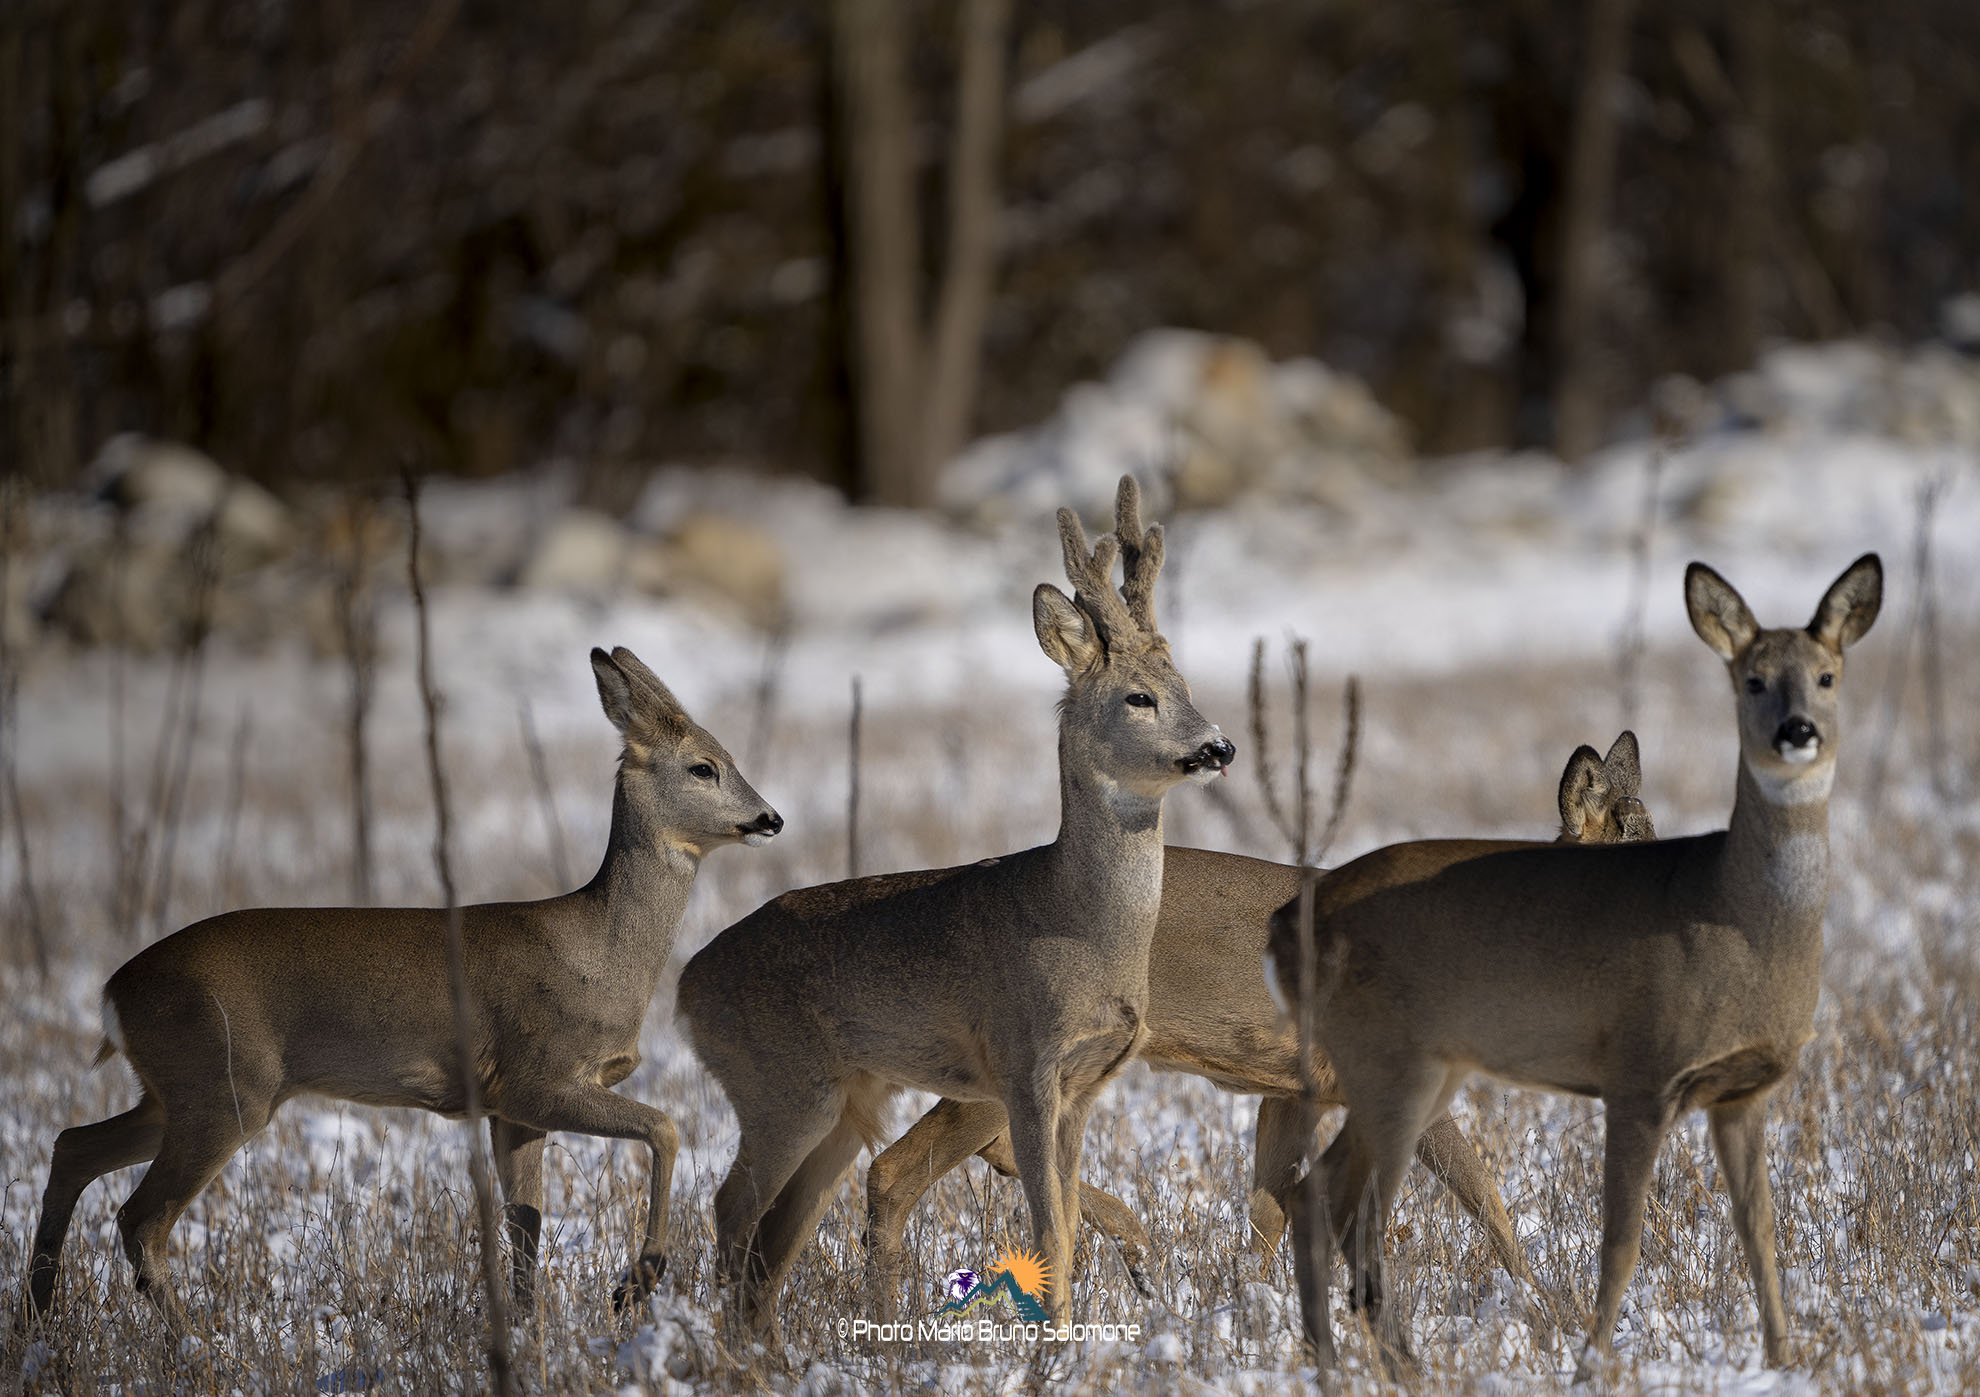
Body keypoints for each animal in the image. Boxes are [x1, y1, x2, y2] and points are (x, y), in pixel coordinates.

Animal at [21, 647, 781, 1338]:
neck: (600, 951)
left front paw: (530, 1333)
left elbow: (527, 1224)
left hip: (177, 1090)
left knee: (72, 1146)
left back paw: (40, 1320)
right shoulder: (538, 1074)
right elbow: (665, 1126)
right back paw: (194, 1341)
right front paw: (636, 1282)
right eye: (704, 765)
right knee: (140, 1216)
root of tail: (113, 991)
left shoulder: (509, 1106)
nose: (771, 818)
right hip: (225, 1083)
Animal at [676, 477, 1235, 1335]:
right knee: (733, 1207)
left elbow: (1066, 1220)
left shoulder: (1085, 1084)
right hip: (777, 1083)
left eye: (1187, 688)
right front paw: (1055, 1342)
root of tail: (682, 985)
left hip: (837, 1102)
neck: (1080, 927)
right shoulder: (1024, 1061)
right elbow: (1048, 1225)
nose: (1217, 745)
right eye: (1138, 697)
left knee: (783, 1226)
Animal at [859, 730, 1655, 1322]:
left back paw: (1136, 1256)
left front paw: (1255, 1308)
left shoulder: (1292, 1088)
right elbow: (1485, 1196)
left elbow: (1268, 1209)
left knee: (988, 1152)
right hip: (1028, 1048)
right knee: (895, 1169)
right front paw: (1553, 1307)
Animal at [1268, 554, 1881, 1379]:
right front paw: (1592, 1363)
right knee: (1338, 1209)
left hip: (1421, 1073)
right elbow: (1621, 1238)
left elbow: (1762, 1233)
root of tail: (1284, 923)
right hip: (1391, 1067)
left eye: (1827, 675)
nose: (1798, 732)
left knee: (1320, 1200)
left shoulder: (1742, 1089)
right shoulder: (1638, 1073)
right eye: (1751, 680)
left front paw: (1786, 1363)